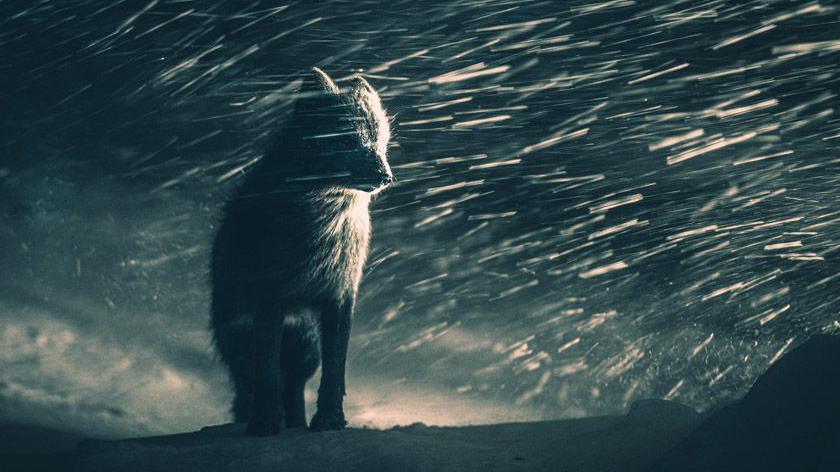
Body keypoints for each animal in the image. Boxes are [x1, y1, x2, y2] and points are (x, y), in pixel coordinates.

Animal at [210, 67, 393, 435]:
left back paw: (296, 424)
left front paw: (329, 421)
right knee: (255, 383)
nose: (386, 177)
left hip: (306, 351)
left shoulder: (340, 296)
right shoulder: (271, 295)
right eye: (346, 140)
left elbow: (335, 373)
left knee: (293, 389)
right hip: (245, 342)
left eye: (380, 141)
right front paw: (265, 425)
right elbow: (267, 374)